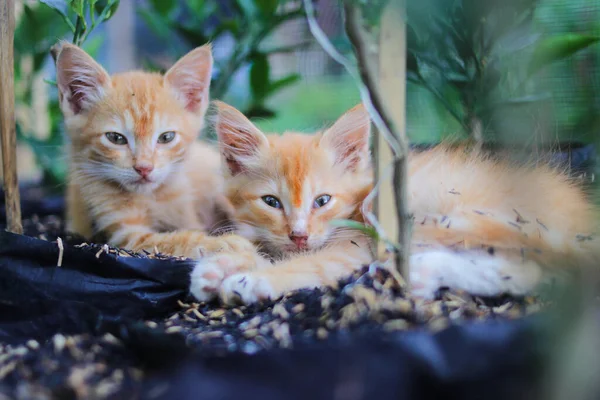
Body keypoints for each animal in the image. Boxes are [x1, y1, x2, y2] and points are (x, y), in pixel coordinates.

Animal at [54, 43, 255, 256]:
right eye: (116, 138)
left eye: (166, 137)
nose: (144, 168)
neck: (151, 197)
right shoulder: (127, 235)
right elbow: (174, 240)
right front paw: (225, 243)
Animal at [191, 101, 600, 304]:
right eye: (271, 201)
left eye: (322, 200)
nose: (299, 234)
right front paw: (219, 267)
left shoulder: (356, 244)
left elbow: (312, 264)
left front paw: (254, 278)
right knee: (531, 272)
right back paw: (424, 273)